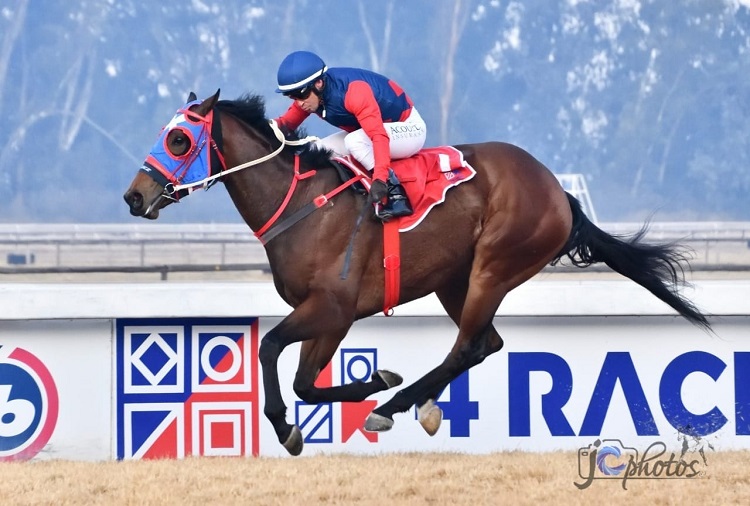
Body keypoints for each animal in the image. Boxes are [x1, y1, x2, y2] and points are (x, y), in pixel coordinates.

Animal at [123, 89, 710, 456]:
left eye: (178, 140)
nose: (135, 196)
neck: (303, 206)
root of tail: (556, 189)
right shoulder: (328, 317)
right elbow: (306, 381)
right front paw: (362, 388)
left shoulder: (332, 309)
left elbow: (275, 355)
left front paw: (302, 421)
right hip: (455, 279)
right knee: (484, 343)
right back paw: (417, 404)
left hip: (494, 266)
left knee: (469, 344)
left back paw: (396, 405)